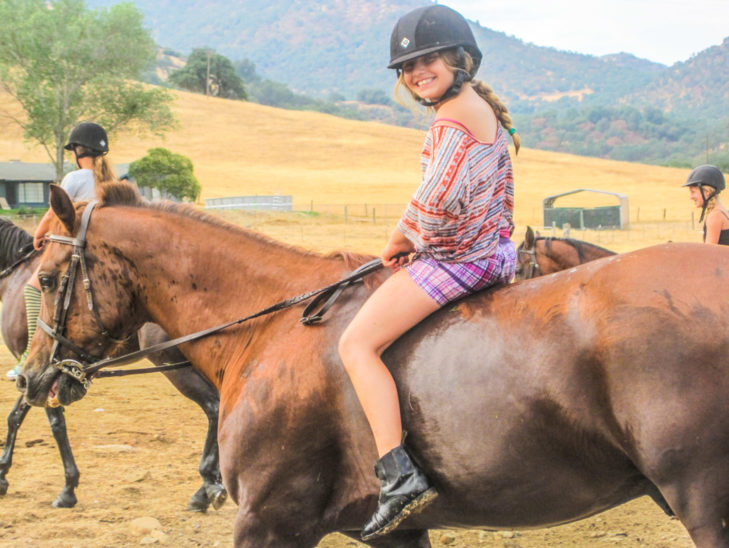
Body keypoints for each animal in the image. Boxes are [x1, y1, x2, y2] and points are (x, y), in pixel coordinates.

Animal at [0, 216, 226, 511]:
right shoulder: (34, 376)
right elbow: (15, 416)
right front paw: (2, 475)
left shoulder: (43, 373)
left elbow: (55, 424)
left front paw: (68, 488)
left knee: (214, 407)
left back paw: (205, 488)